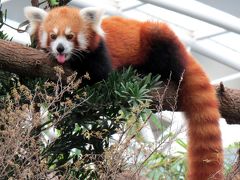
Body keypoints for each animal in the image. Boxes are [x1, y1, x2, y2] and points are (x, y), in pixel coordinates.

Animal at [23, 5, 223, 179]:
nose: (60, 48)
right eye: (53, 36)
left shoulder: (100, 54)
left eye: (70, 36)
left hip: (159, 39)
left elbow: (98, 76)